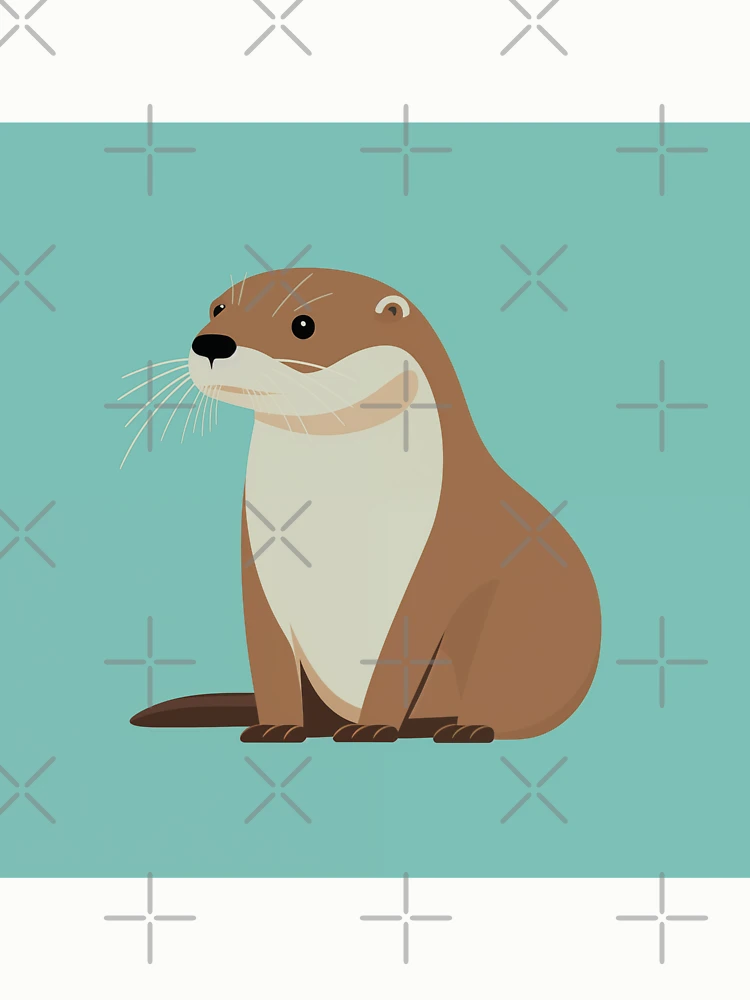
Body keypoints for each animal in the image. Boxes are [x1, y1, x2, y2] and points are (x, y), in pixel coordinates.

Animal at [131, 268, 601, 742]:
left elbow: (401, 655)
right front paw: (277, 725)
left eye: (304, 324)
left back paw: (462, 726)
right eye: (217, 309)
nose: (212, 342)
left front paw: (375, 726)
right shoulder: (259, 558)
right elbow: (270, 658)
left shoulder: (440, 553)